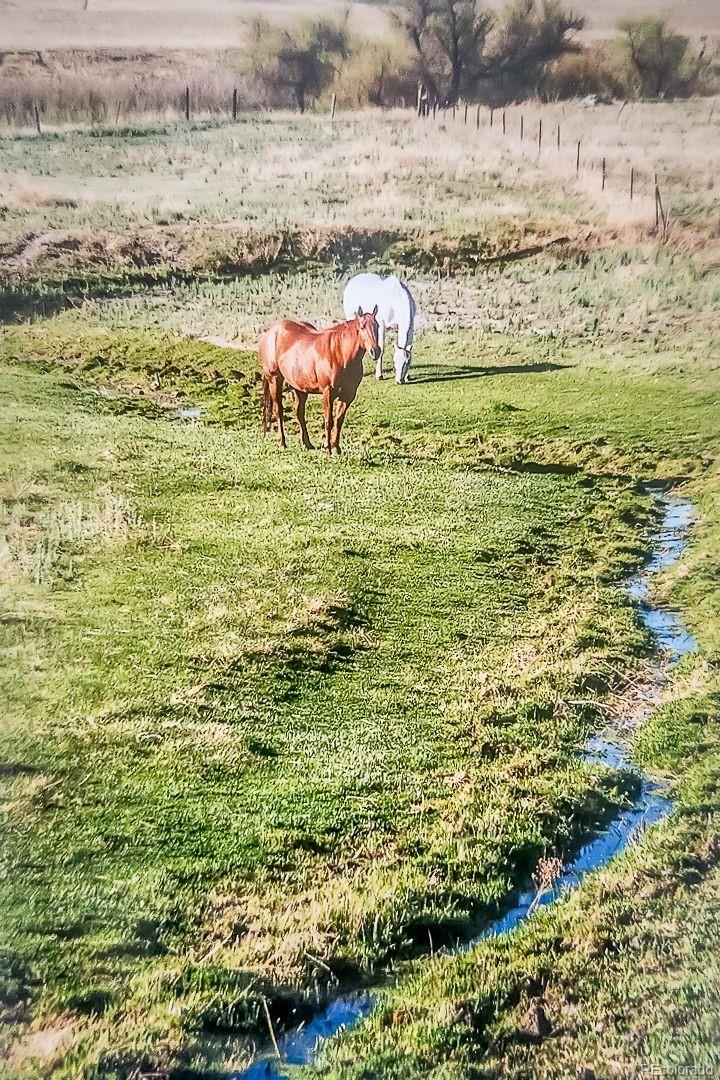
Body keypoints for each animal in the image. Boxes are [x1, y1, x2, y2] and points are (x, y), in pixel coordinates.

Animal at [260, 306, 382, 453]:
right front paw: (328, 449)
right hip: (274, 379)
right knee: (278, 411)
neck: (340, 353)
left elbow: (339, 421)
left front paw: (336, 449)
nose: (376, 351)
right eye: (362, 327)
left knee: (299, 413)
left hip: (299, 388)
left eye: (377, 326)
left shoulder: (348, 395)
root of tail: (271, 333)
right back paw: (282, 443)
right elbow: (328, 421)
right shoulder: (328, 392)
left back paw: (308, 444)